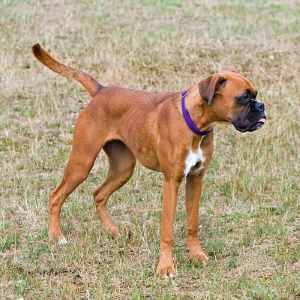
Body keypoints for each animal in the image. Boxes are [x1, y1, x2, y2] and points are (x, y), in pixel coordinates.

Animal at [32, 43, 266, 278]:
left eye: (255, 95)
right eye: (243, 98)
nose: (261, 106)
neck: (194, 122)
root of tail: (101, 90)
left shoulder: (196, 179)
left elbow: (193, 222)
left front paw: (196, 255)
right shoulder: (172, 181)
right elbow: (167, 228)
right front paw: (165, 267)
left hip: (123, 168)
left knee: (98, 194)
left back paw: (113, 231)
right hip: (82, 163)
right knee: (56, 196)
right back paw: (57, 237)